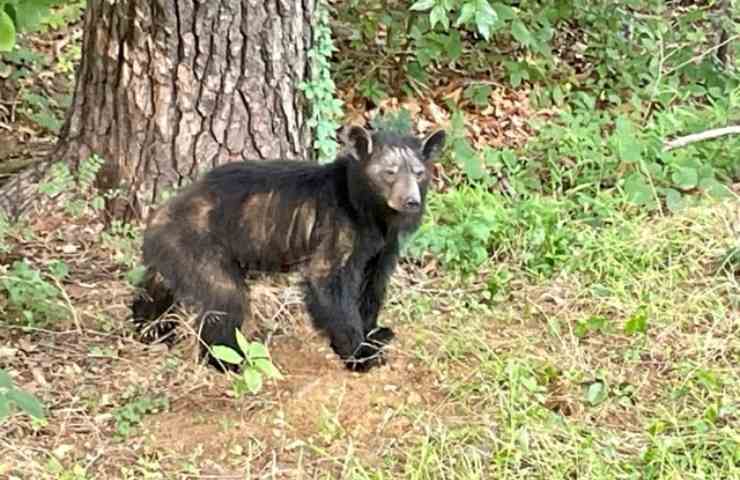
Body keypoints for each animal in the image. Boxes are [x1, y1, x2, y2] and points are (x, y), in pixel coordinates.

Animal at [132, 126, 446, 372]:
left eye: (419, 173)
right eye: (389, 173)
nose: (411, 201)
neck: (372, 214)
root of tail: (155, 222)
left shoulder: (383, 246)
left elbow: (372, 286)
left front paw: (376, 332)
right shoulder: (339, 228)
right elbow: (327, 280)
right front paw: (360, 355)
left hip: (172, 255)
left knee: (156, 289)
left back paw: (149, 332)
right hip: (196, 246)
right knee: (225, 297)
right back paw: (228, 362)